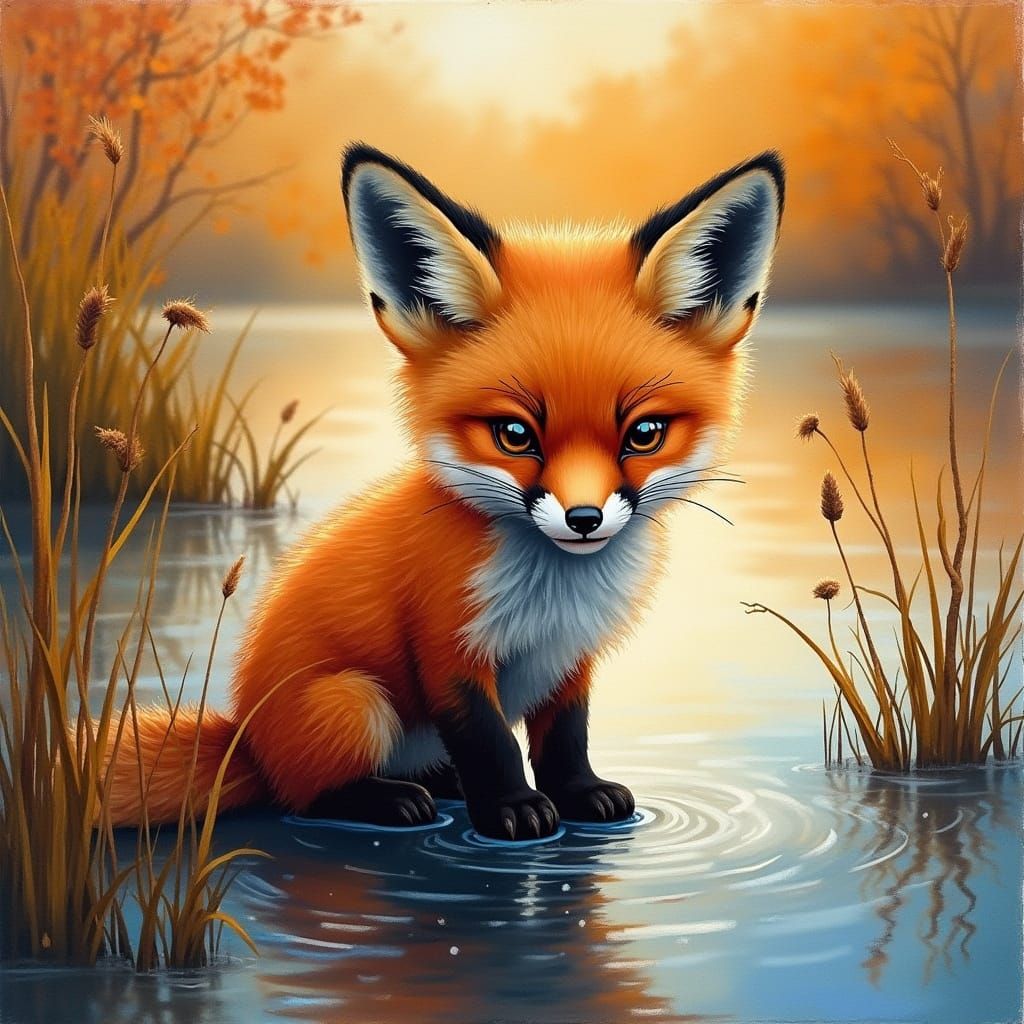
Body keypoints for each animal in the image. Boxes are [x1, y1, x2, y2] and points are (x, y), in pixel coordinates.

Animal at [106, 144, 784, 840]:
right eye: (514, 435)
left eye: (644, 434)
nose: (584, 518)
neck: (554, 598)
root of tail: (242, 735)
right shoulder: (446, 647)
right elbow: (490, 741)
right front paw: (513, 809)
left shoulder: (569, 660)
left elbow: (564, 739)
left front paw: (580, 794)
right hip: (354, 701)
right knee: (302, 793)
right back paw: (388, 800)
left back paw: (441, 784)